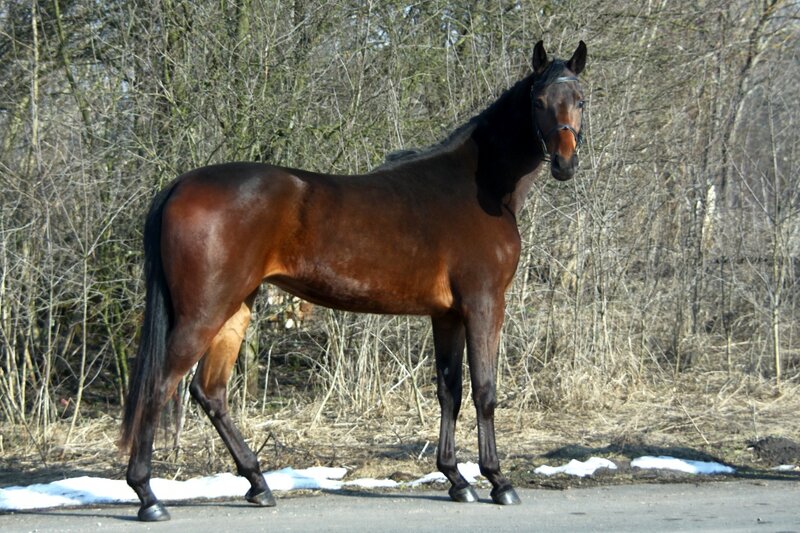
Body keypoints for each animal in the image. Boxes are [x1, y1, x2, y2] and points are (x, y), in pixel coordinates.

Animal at [120, 40, 587, 521]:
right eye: (538, 101)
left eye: (580, 99)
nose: (565, 163)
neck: (478, 189)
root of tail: (179, 185)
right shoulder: (484, 304)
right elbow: (485, 391)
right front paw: (498, 481)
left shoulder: (447, 314)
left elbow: (449, 391)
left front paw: (456, 480)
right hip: (204, 311)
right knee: (159, 385)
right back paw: (148, 496)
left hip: (235, 307)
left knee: (209, 391)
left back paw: (257, 484)